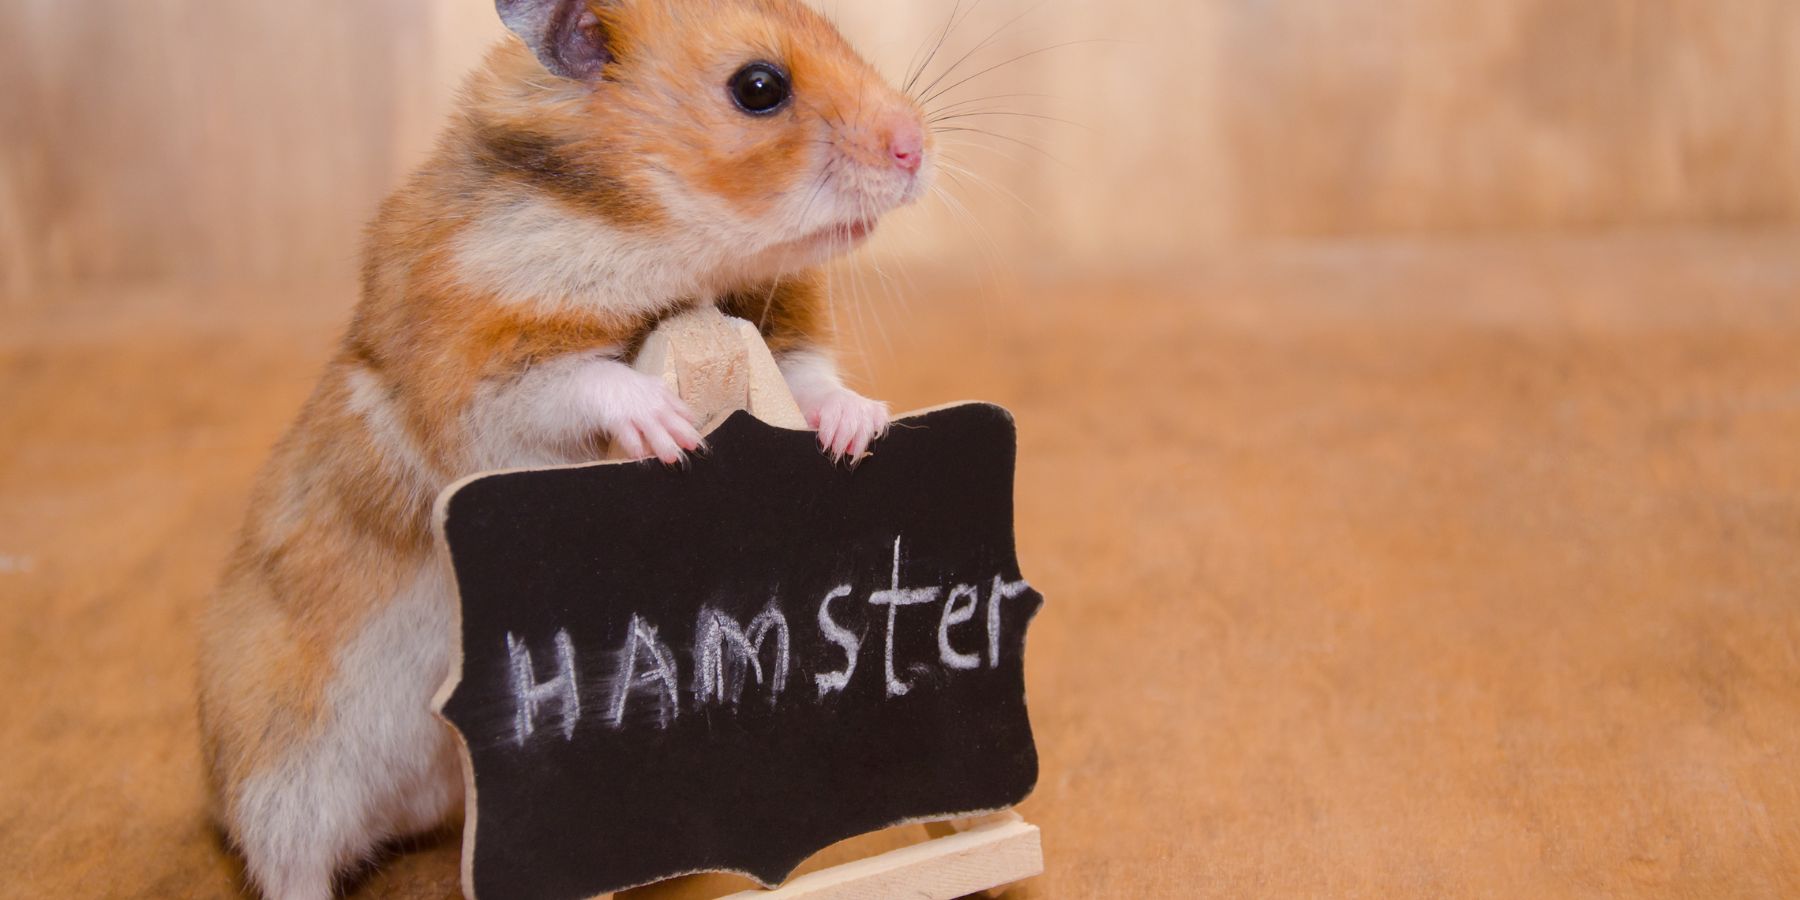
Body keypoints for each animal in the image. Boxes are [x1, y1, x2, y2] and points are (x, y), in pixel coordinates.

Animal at [197, 1, 933, 896]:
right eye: (759, 87)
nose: (919, 146)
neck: (647, 233)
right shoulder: (482, 375)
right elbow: (581, 381)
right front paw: (669, 430)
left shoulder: (770, 318)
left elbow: (808, 378)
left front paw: (858, 430)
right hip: (281, 779)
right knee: (288, 864)